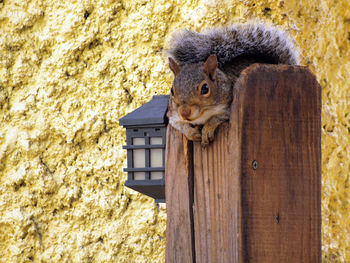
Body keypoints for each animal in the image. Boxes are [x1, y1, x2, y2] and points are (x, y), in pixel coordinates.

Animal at [165, 22, 300, 146]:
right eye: (172, 90)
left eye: (205, 88)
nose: (184, 112)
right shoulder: (173, 114)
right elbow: (177, 124)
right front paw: (190, 132)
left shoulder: (229, 107)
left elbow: (218, 117)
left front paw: (208, 128)